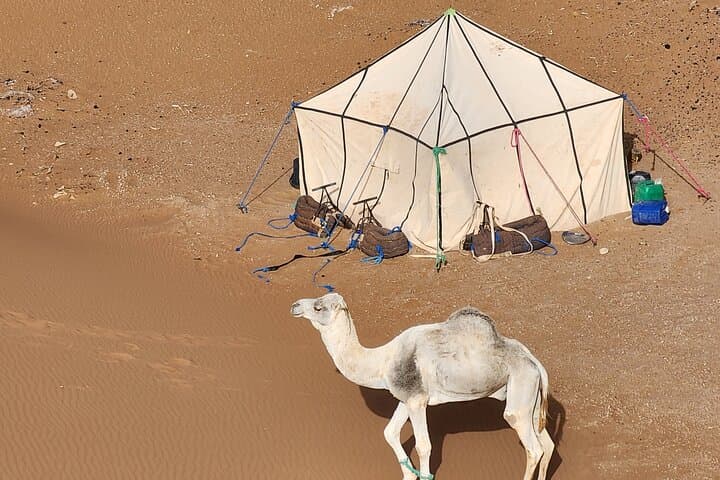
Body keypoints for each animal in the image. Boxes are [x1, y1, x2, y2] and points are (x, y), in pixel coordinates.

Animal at [291, 292, 554, 480]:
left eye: (319, 307)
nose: (294, 305)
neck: (383, 361)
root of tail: (535, 362)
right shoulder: (406, 397)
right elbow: (390, 432)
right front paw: (408, 475)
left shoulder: (418, 401)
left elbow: (424, 446)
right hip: (530, 396)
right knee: (547, 445)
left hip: (521, 387)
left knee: (532, 447)